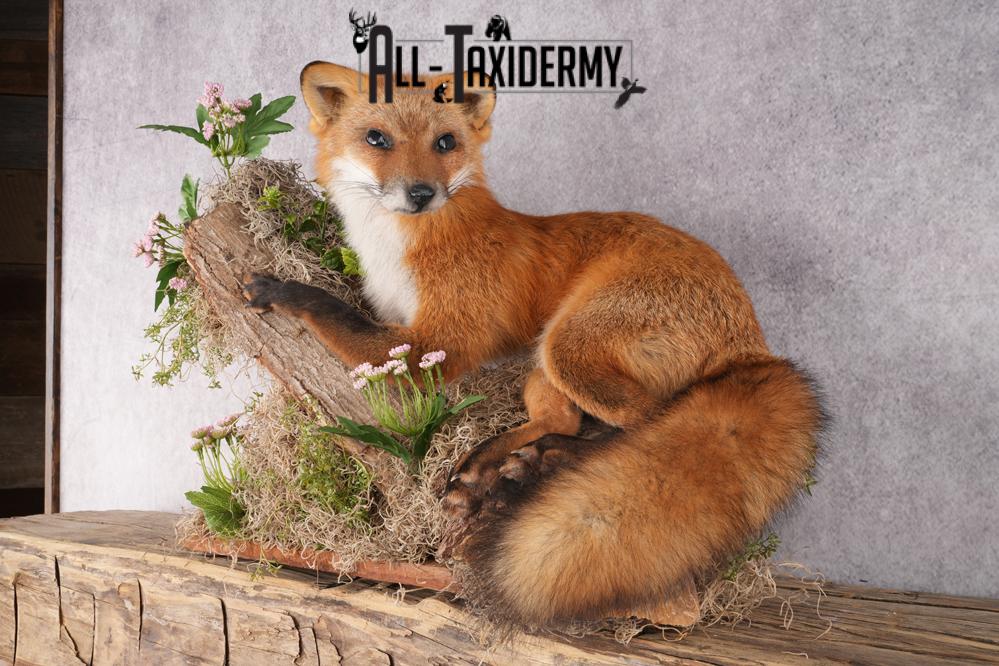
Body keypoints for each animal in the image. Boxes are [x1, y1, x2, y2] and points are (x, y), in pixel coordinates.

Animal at [242, 61, 824, 626]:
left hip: (568, 347)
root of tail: (753, 339)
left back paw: (541, 465)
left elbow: (337, 312)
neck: (397, 252)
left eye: (445, 143)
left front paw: (287, 292)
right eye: (376, 138)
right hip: (546, 363)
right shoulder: (396, 321)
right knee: (565, 419)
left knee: (644, 423)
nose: (422, 193)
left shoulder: (436, 344)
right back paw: (497, 466)